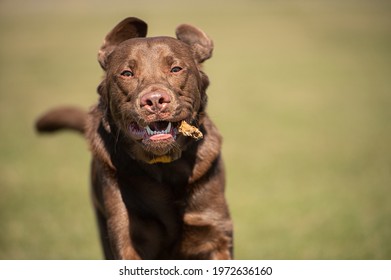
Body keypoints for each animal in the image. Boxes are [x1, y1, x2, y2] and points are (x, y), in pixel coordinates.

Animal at [36, 16, 233, 260]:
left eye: (176, 69)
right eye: (127, 73)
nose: (155, 100)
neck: (164, 168)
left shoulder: (214, 231)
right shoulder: (126, 234)